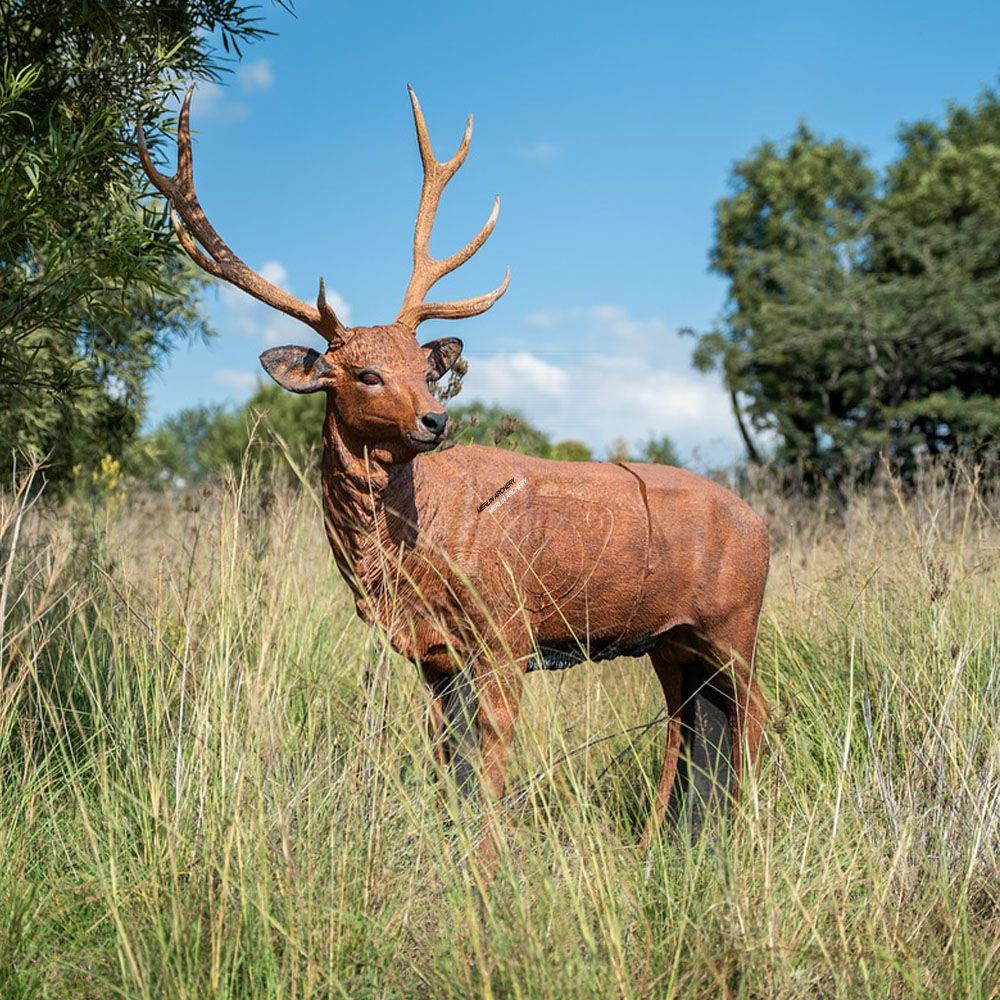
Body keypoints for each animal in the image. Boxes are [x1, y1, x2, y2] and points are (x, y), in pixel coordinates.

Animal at [138, 85, 771, 849]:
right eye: (367, 374)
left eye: (426, 370)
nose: (434, 420)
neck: (408, 554)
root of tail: (762, 524)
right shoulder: (434, 657)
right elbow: (451, 766)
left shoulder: (506, 629)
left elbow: (488, 767)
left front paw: (487, 861)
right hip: (672, 640)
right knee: (694, 727)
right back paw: (672, 841)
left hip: (735, 621)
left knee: (756, 717)